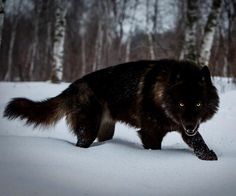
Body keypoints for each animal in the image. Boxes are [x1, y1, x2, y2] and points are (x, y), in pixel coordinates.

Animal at [2, 59, 218, 161]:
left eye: (198, 104)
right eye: (181, 104)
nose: (190, 126)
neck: (162, 94)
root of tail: (73, 86)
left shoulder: (186, 128)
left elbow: (198, 141)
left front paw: (208, 156)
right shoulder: (150, 134)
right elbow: (155, 149)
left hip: (105, 130)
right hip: (88, 130)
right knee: (80, 145)